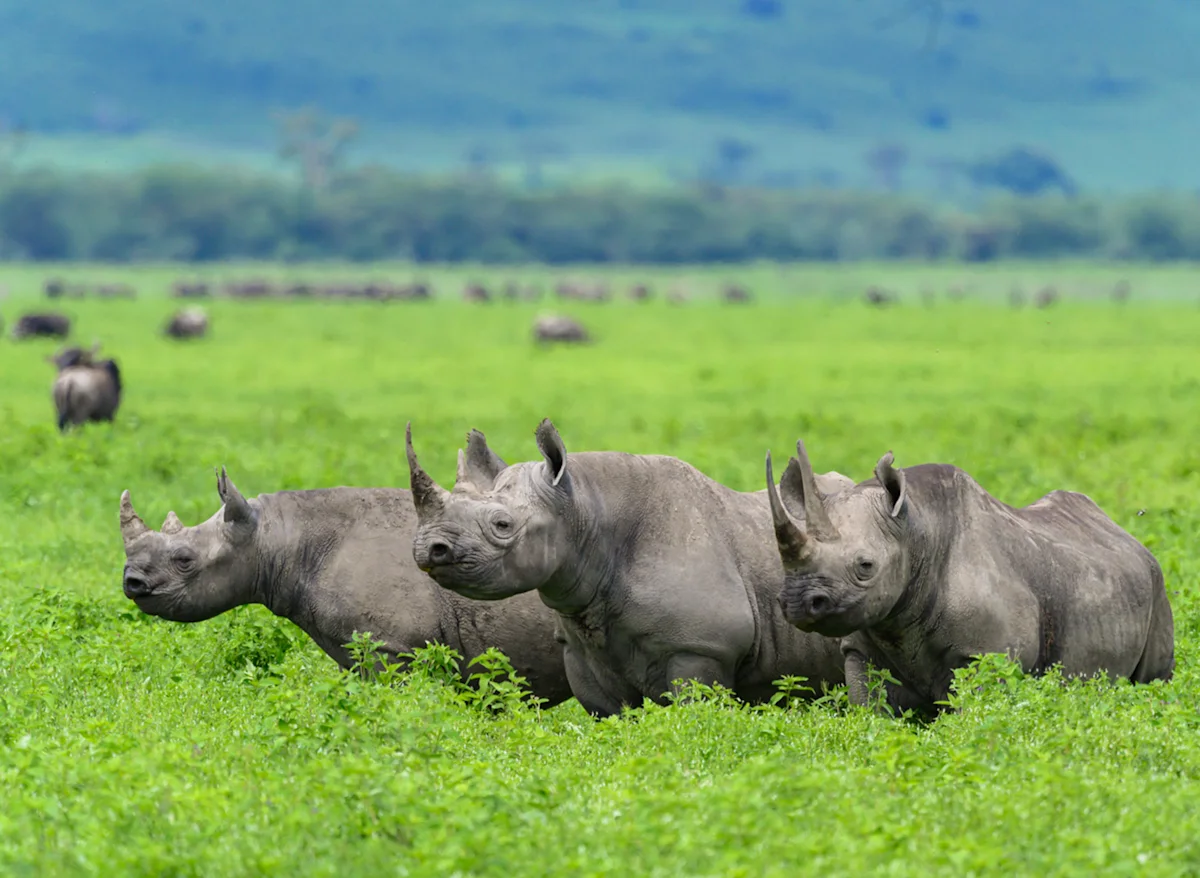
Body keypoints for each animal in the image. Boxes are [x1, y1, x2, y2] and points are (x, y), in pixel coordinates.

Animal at [406, 420, 849, 718]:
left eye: (502, 525)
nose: (429, 548)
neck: (585, 513)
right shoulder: (581, 649)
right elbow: (612, 718)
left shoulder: (702, 648)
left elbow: (694, 713)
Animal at [765, 442, 1175, 718]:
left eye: (865, 566)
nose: (799, 603)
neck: (917, 532)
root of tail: (1125, 533)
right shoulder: (863, 644)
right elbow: (871, 710)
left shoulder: (988, 652)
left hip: (1157, 586)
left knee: (1155, 679)